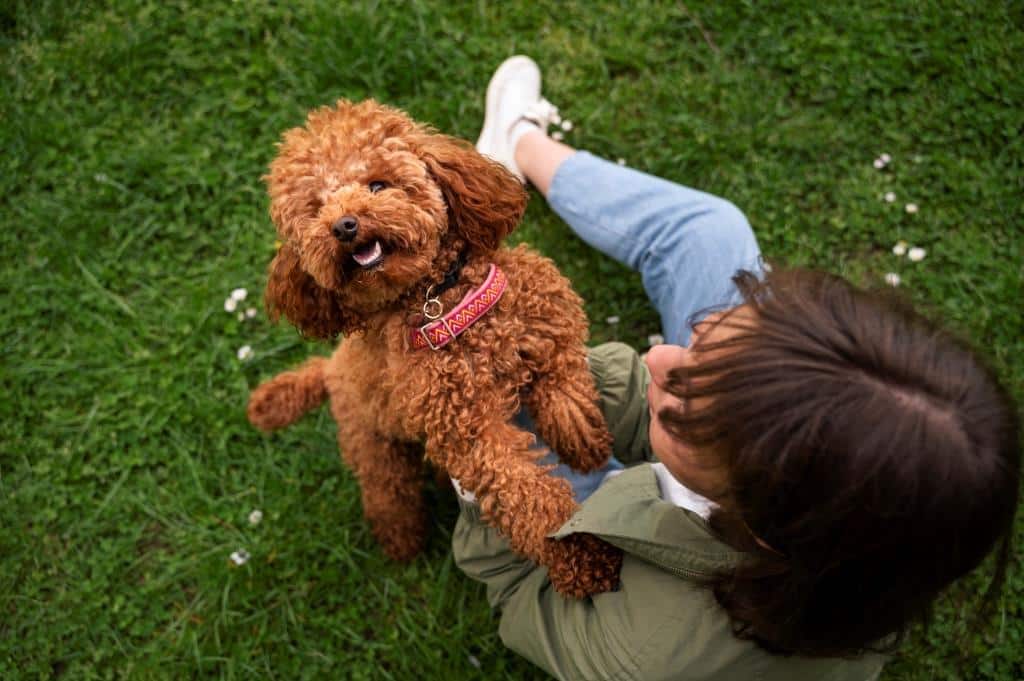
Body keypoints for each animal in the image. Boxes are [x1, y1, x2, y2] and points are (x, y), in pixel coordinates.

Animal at [247, 99, 618, 593]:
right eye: (317, 208)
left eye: (377, 184)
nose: (343, 226)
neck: (439, 301)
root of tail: (329, 369)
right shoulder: (470, 433)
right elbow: (526, 496)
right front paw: (582, 556)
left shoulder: (548, 319)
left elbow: (565, 383)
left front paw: (583, 442)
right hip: (373, 445)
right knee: (389, 494)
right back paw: (403, 542)